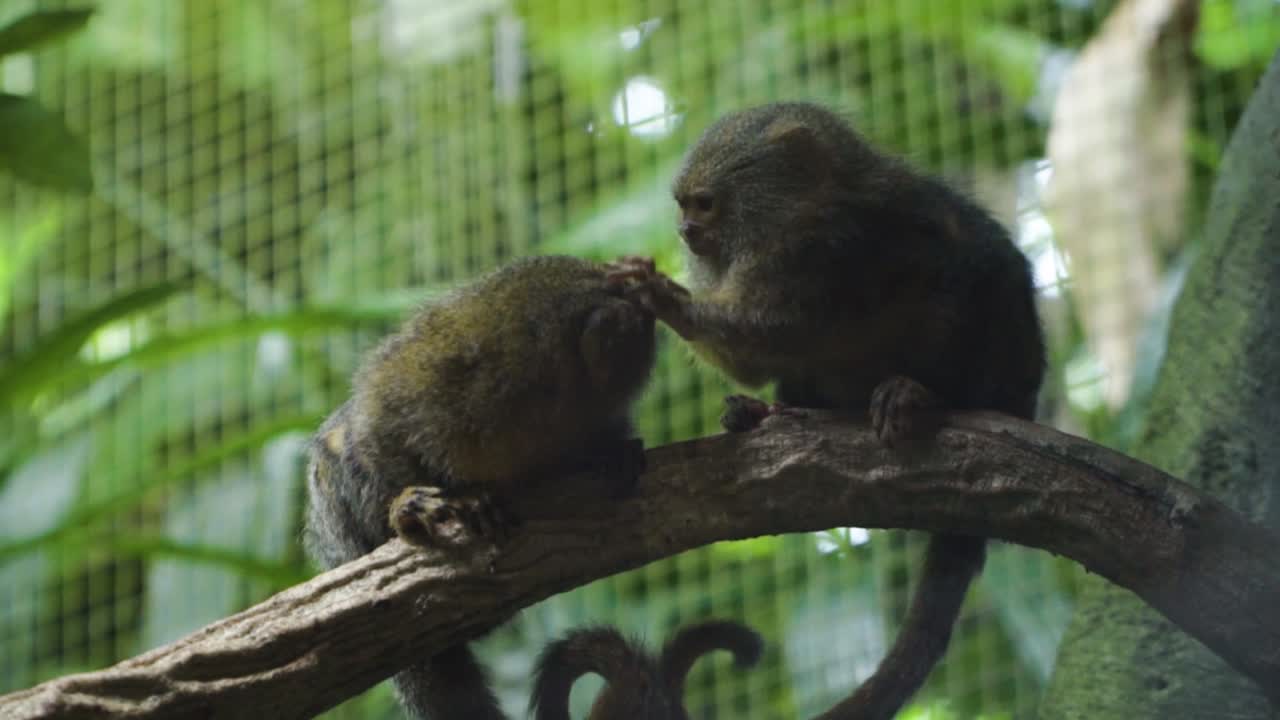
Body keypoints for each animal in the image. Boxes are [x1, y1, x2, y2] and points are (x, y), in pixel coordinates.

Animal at [303, 255, 659, 720]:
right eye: (619, 292)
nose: (639, 306)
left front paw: (614, 451)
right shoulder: (430, 378)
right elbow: (371, 432)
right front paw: (412, 505)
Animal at [611, 101, 1047, 719]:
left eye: (705, 204)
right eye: (683, 205)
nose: (685, 232)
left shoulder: (857, 240)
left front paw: (666, 298)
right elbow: (758, 355)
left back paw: (922, 397)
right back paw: (765, 414)